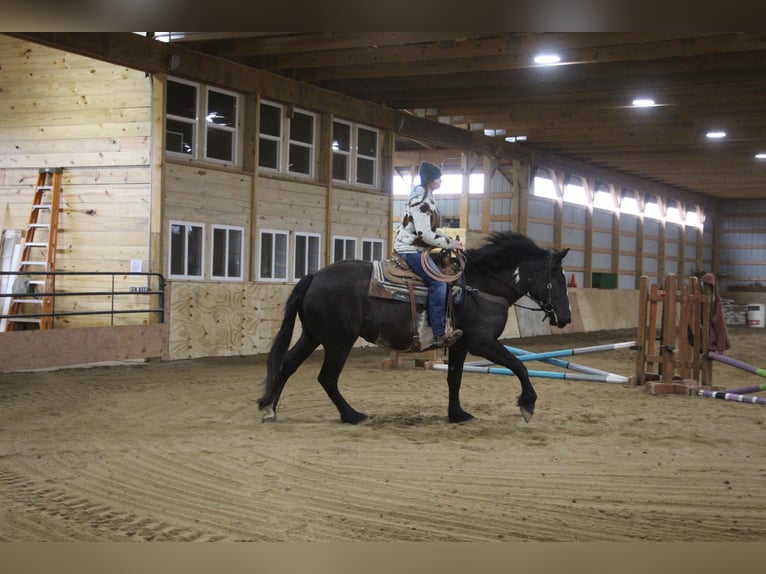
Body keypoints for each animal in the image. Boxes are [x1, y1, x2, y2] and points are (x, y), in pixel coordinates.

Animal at [258, 232, 568, 426]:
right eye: (559, 279)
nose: (565, 317)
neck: (481, 286)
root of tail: (314, 276)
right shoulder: (483, 342)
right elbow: (519, 366)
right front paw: (527, 404)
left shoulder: (460, 345)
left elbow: (454, 379)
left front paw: (457, 414)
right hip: (338, 342)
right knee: (327, 378)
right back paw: (353, 415)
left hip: (312, 336)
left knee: (287, 365)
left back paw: (270, 409)